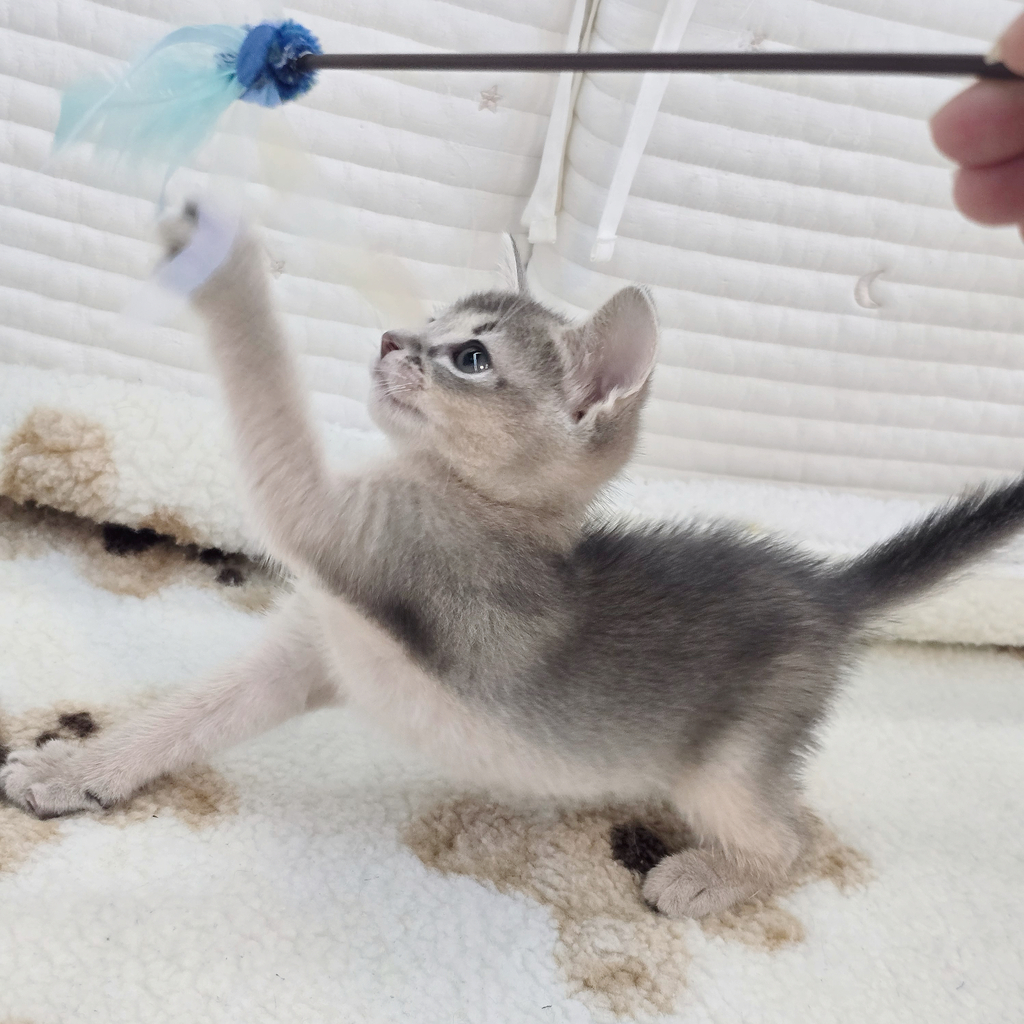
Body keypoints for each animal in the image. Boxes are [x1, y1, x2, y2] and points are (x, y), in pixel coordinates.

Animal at [4, 202, 1024, 919]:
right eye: (432, 322)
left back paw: (706, 878)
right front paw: (76, 767)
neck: (471, 503)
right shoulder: (314, 650)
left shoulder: (341, 530)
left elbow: (266, 377)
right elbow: (186, 715)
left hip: (730, 763)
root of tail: (827, 584)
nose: (389, 339)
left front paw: (215, 252)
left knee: (795, 839)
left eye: (468, 358)